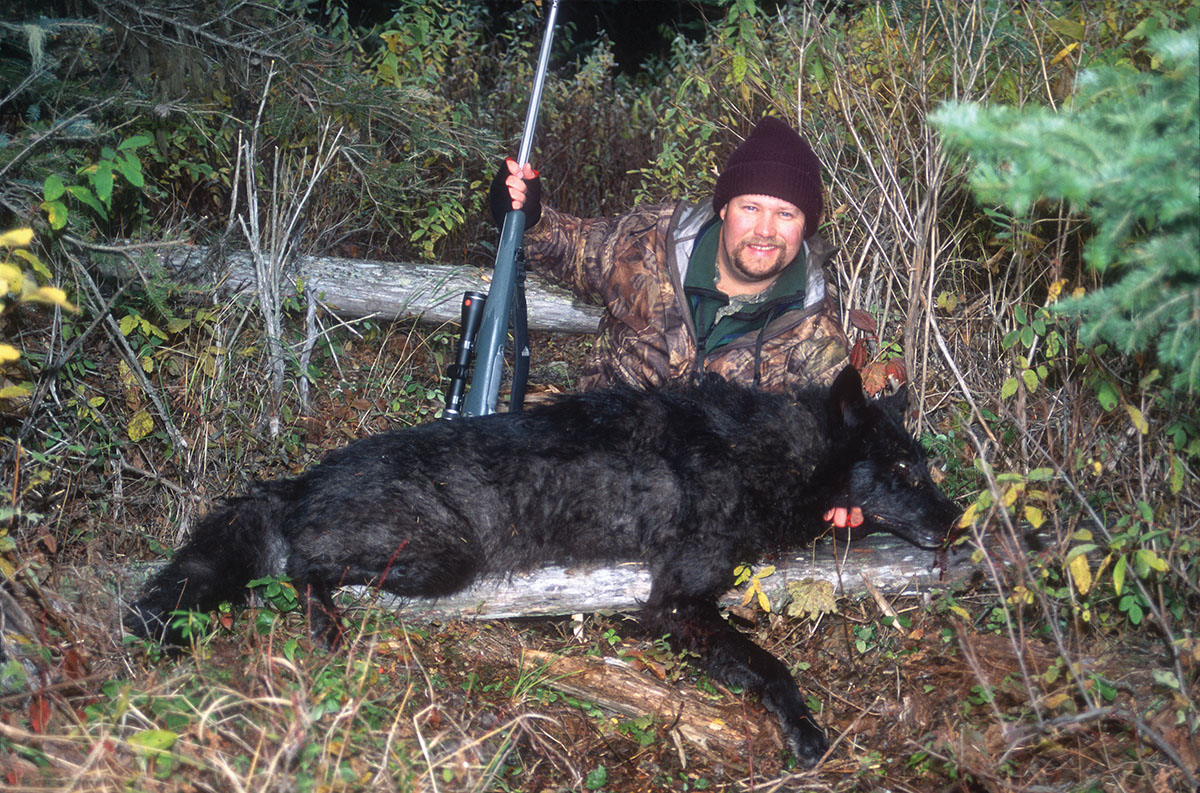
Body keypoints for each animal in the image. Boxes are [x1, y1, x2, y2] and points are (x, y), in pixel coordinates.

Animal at [126, 365, 957, 767]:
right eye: (904, 470)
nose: (962, 520)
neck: (761, 454)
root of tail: (297, 479)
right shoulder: (674, 605)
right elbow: (774, 667)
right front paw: (807, 732)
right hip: (440, 560)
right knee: (302, 565)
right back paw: (327, 631)